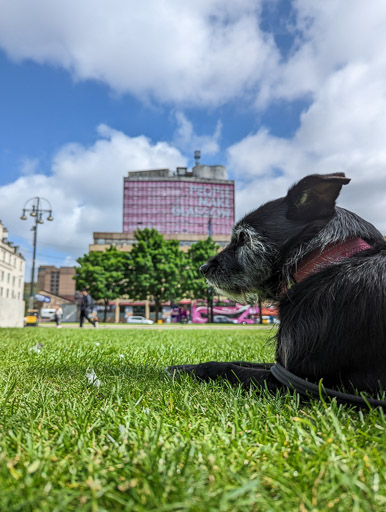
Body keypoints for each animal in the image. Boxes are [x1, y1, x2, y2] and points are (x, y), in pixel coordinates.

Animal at [170, 174, 386, 394]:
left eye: (243, 237)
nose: (203, 268)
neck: (323, 260)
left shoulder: (301, 384)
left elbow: (225, 368)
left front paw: (186, 371)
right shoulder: (282, 369)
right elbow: (236, 361)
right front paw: (182, 367)